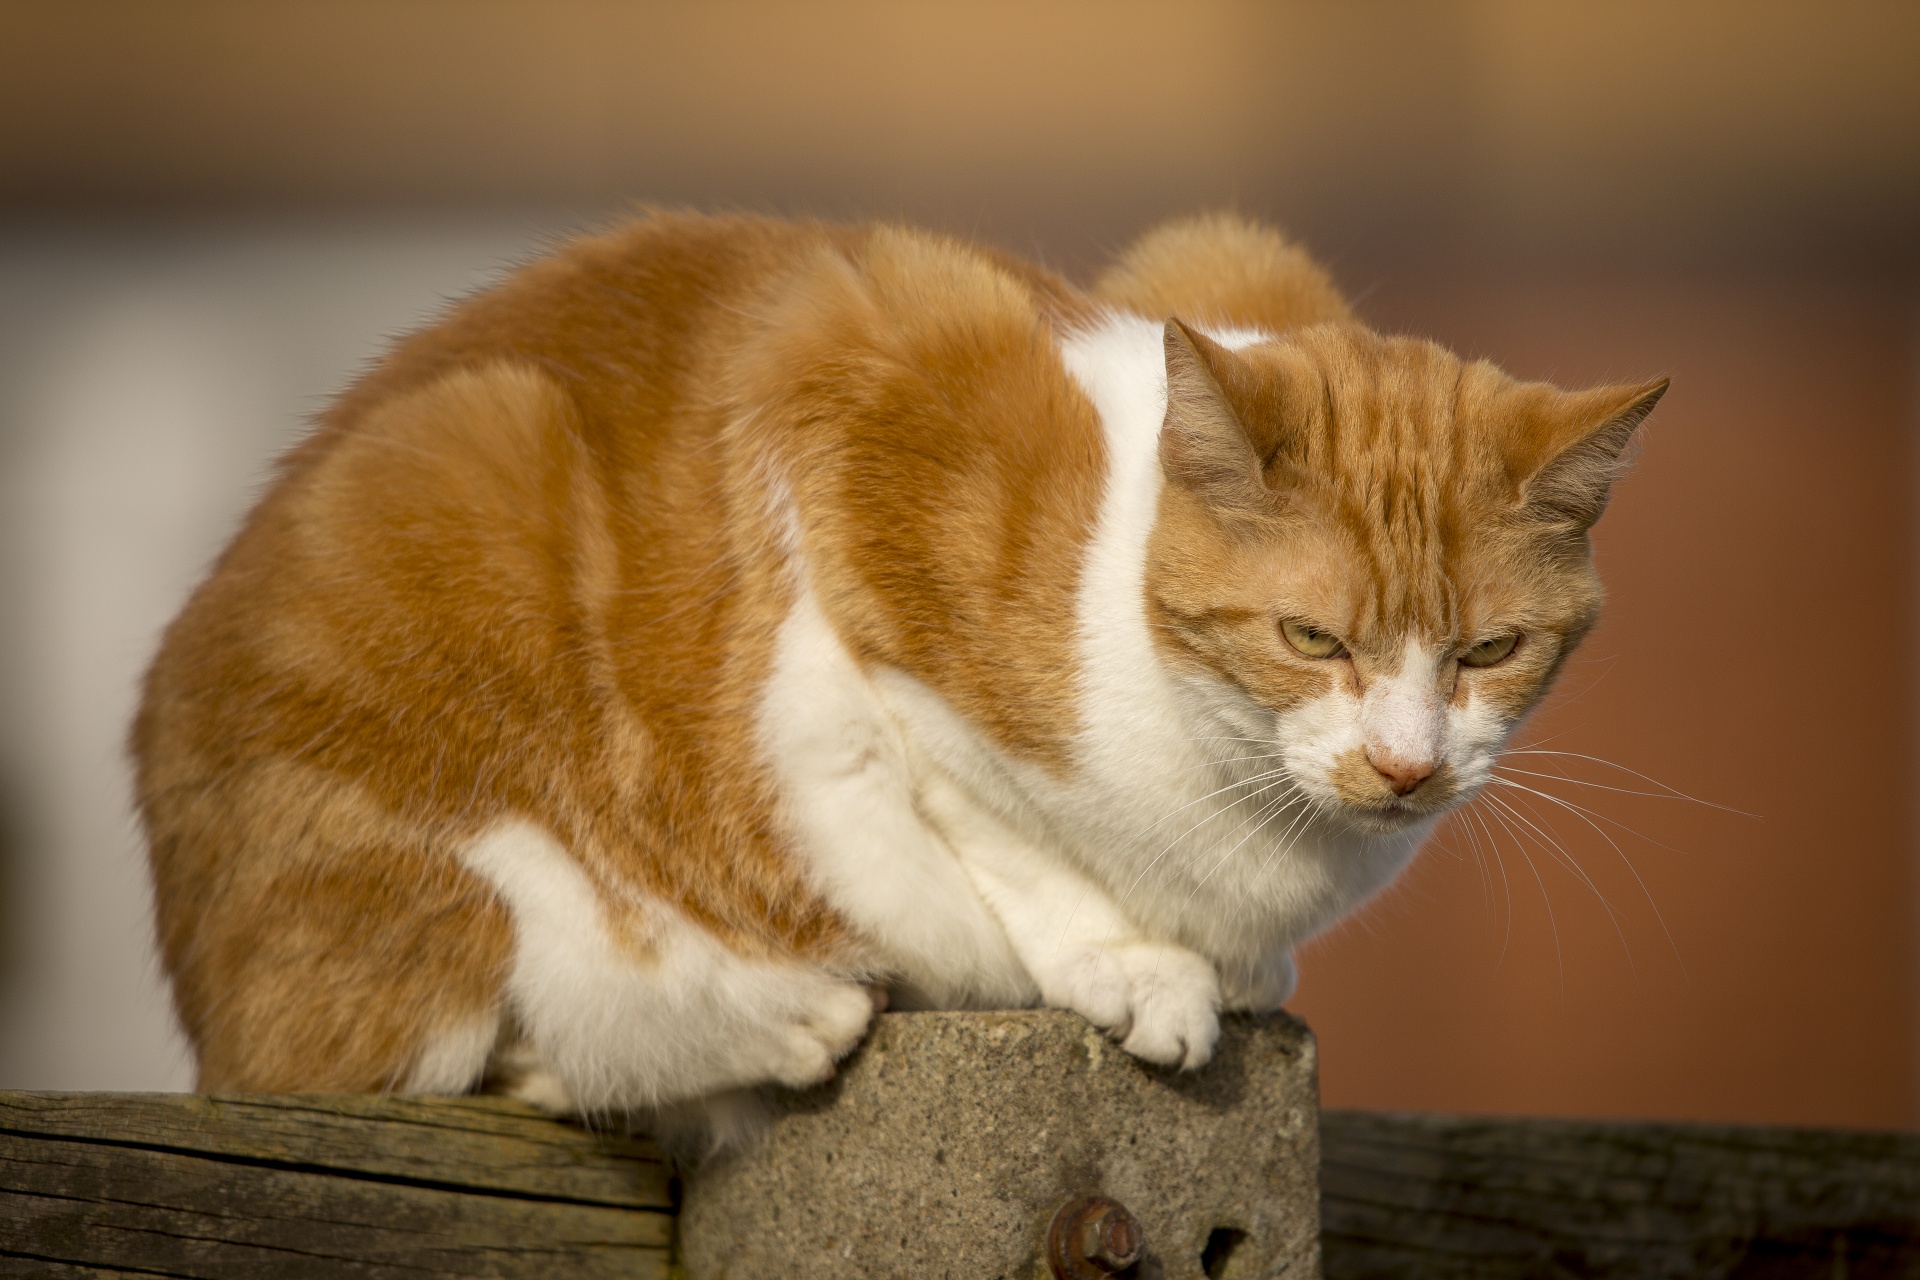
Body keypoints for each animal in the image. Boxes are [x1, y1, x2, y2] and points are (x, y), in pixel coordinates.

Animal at [139, 213, 1666, 1128]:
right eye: (1313, 640)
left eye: (1489, 651)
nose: (1405, 765)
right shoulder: (846, 469)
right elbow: (992, 822)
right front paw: (1135, 964)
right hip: (459, 496)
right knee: (460, 1032)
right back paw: (773, 1014)